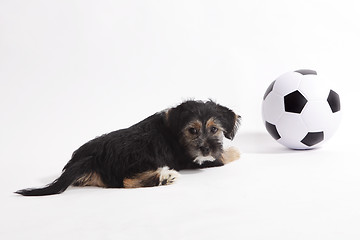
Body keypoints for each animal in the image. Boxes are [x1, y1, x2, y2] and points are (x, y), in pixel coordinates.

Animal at [17, 100, 242, 196]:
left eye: (214, 129)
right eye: (192, 130)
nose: (205, 149)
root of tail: (91, 158)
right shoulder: (192, 159)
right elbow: (223, 157)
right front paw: (235, 151)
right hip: (139, 154)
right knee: (125, 181)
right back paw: (164, 177)